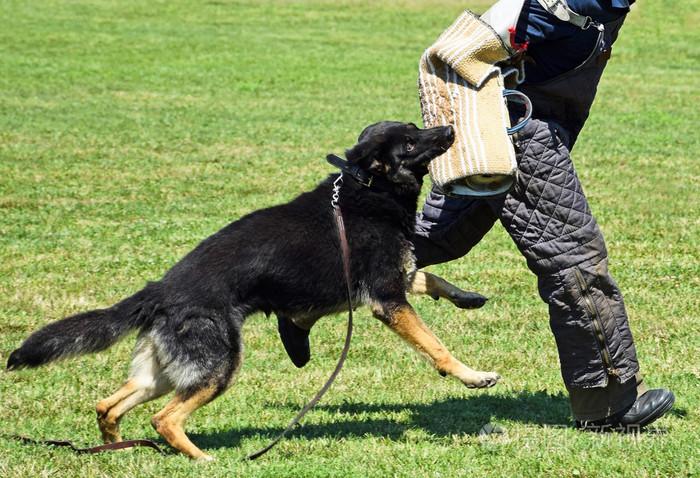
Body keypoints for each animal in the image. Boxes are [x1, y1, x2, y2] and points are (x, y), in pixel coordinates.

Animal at [5, 121, 498, 462]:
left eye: (416, 128)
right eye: (411, 142)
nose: (449, 128)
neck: (367, 188)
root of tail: (160, 289)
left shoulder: (394, 279)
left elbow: (431, 278)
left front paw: (468, 297)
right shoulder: (386, 298)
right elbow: (436, 345)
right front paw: (472, 375)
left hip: (163, 372)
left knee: (108, 404)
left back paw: (119, 448)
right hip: (217, 365)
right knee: (164, 418)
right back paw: (202, 459)